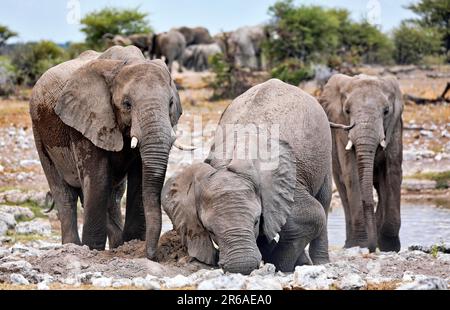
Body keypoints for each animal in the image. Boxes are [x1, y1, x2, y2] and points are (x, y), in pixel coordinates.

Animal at [29, 45, 192, 260]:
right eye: (127, 104)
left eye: (171, 103)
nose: (151, 255)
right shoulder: (86, 119)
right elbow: (97, 176)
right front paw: (92, 249)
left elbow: (140, 175)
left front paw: (131, 244)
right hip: (39, 131)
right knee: (64, 193)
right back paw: (72, 247)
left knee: (114, 194)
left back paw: (116, 244)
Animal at [163, 79, 332, 274]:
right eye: (210, 231)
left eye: (256, 221)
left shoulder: (288, 184)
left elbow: (308, 219)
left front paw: (283, 264)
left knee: (324, 201)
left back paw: (321, 263)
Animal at [320, 74, 404, 253]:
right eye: (347, 111)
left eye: (386, 111)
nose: (371, 249)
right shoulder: (341, 130)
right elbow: (351, 173)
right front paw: (361, 244)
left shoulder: (395, 126)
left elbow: (393, 171)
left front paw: (389, 246)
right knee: (343, 188)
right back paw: (350, 244)